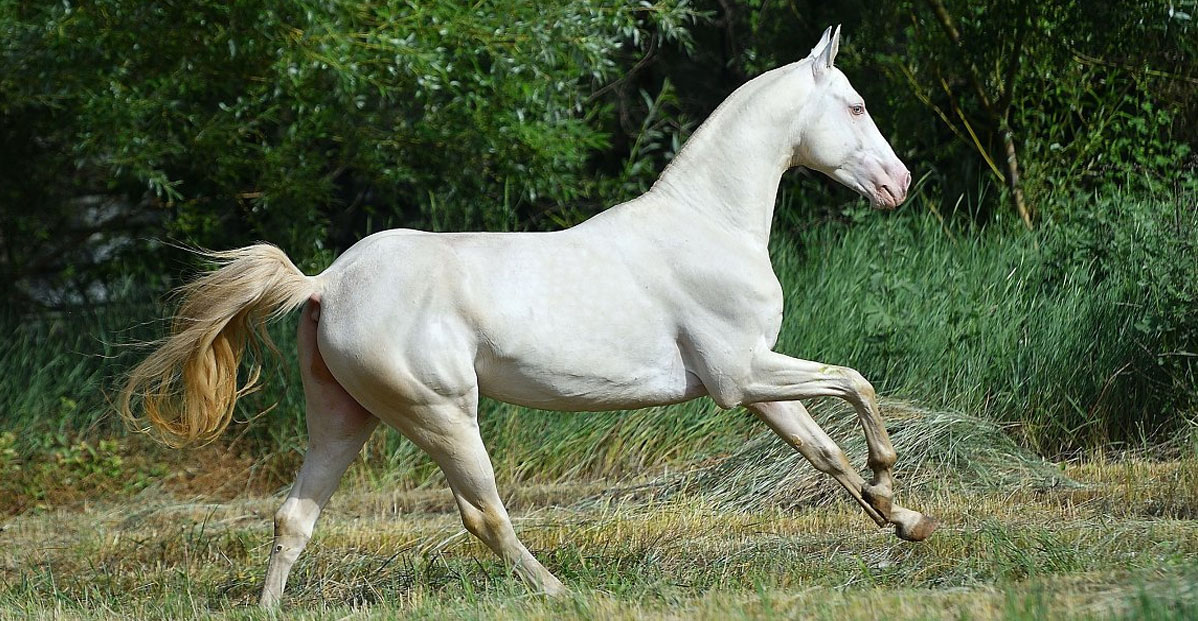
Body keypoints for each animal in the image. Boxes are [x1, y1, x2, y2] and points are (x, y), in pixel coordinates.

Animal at [121, 28, 929, 609]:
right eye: (856, 107)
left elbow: (822, 451)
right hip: (444, 415)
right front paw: (891, 483)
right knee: (484, 516)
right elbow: (856, 383)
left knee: (294, 517)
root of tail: (328, 282)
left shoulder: (756, 382)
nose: (899, 183)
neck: (707, 224)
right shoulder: (741, 375)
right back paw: (562, 592)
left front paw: (904, 520)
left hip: (343, 419)